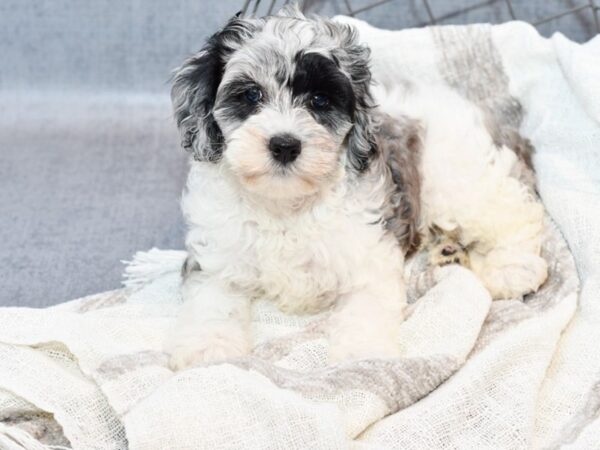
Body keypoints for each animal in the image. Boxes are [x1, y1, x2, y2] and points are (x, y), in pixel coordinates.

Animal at [166, 7, 548, 372]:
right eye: (251, 95)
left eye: (319, 101)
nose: (285, 145)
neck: (286, 205)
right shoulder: (216, 257)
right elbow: (213, 302)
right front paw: (208, 350)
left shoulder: (369, 256)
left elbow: (364, 310)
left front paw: (361, 355)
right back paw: (449, 250)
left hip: (460, 177)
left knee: (514, 213)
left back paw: (512, 268)